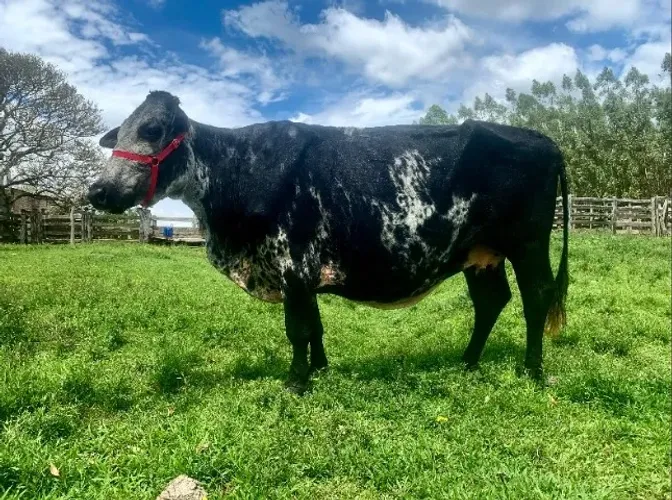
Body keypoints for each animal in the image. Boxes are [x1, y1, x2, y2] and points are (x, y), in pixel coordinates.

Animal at [88, 90, 569, 394]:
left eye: (152, 129)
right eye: (120, 133)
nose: (97, 190)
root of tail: (545, 140)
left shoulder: (293, 264)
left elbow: (297, 328)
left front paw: (296, 381)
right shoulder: (301, 273)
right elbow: (314, 325)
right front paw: (319, 368)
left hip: (528, 245)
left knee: (537, 297)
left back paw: (532, 369)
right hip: (480, 254)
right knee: (491, 301)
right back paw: (467, 362)